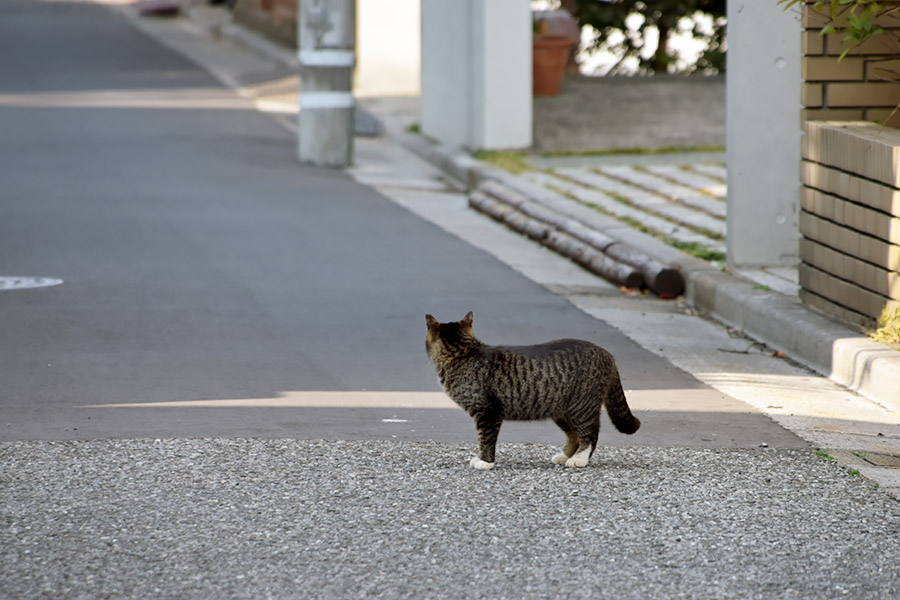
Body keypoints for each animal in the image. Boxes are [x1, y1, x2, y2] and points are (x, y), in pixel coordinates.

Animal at [424, 312, 640, 472]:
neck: (462, 352)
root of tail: (607, 354)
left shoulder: (487, 413)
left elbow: (485, 439)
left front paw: (485, 461)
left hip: (581, 408)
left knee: (590, 434)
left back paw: (579, 458)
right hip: (562, 411)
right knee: (573, 435)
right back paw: (565, 455)